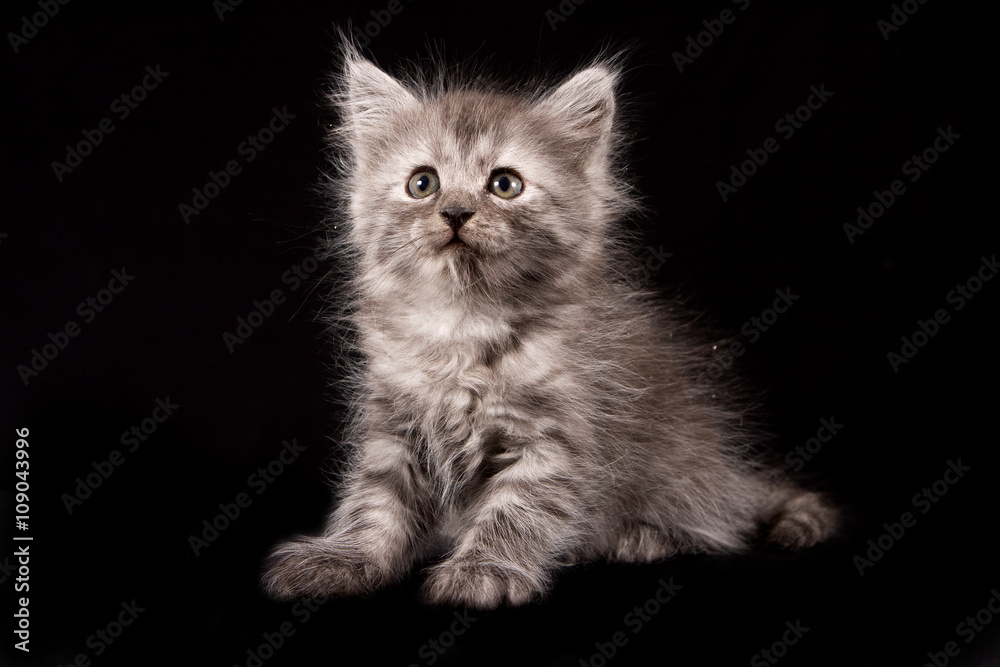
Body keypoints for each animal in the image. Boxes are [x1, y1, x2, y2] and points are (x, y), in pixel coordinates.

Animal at [262, 45, 840, 612]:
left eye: (504, 184)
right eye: (423, 183)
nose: (456, 212)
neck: (462, 324)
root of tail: (732, 472)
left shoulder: (555, 440)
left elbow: (515, 511)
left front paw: (484, 570)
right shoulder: (395, 429)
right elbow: (375, 504)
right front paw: (346, 558)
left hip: (688, 471)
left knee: (718, 520)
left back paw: (642, 537)